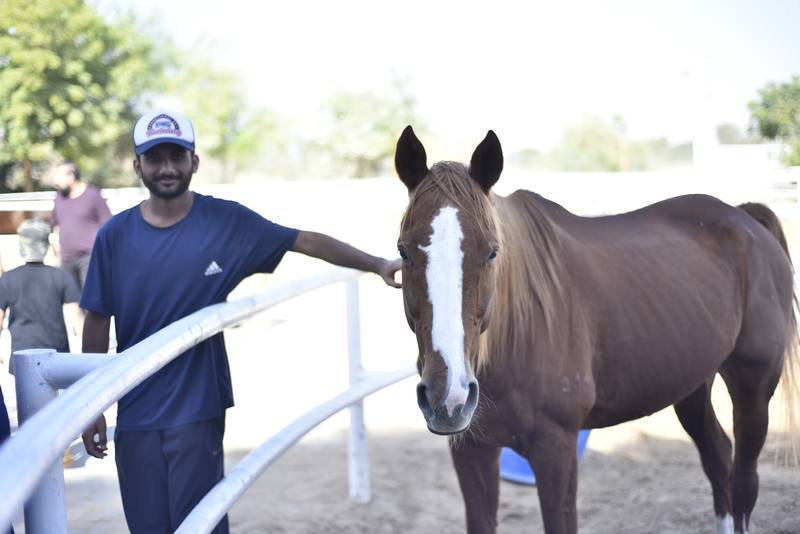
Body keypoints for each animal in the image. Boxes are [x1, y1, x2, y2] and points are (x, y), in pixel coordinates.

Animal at [393, 125, 799, 534]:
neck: (518, 337)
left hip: (753, 390)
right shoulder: (472, 450)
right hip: (691, 385)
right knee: (719, 463)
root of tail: (744, 218)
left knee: (744, 485)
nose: (449, 396)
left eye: (492, 252)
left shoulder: (556, 449)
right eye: (403, 251)